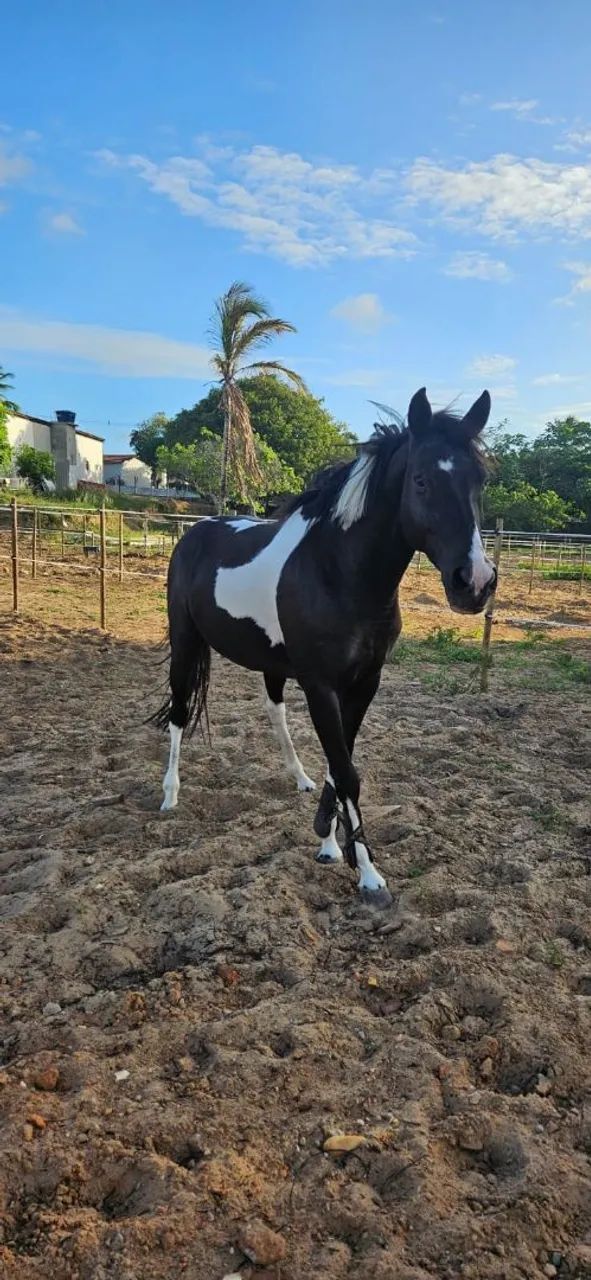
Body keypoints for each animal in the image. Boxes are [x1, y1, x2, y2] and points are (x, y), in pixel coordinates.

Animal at [153, 387, 496, 908]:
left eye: (479, 481)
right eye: (420, 480)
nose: (474, 583)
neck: (339, 572)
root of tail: (195, 530)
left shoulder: (363, 683)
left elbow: (341, 765)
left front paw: (330, 841)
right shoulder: (320, 686)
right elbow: (347, 770)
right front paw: (369, 875)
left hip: (271, 662)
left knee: (274, 712)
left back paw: (299, 777)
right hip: (186, 642)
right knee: (178, 709)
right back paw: (170, 794)